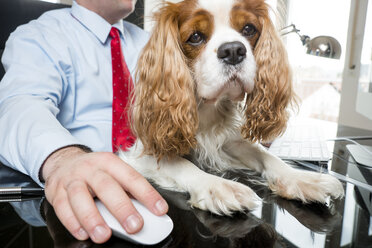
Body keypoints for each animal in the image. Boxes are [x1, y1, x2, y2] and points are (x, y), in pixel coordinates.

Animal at [118, 0, 342, 215]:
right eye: (195, 36)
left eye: (249, 29)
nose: (233, 50)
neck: (206, 109)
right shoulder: (142, 153)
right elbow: (182, 164)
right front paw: (218, 186)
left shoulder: (231, 144)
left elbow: (268, 156)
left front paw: (302, 178)